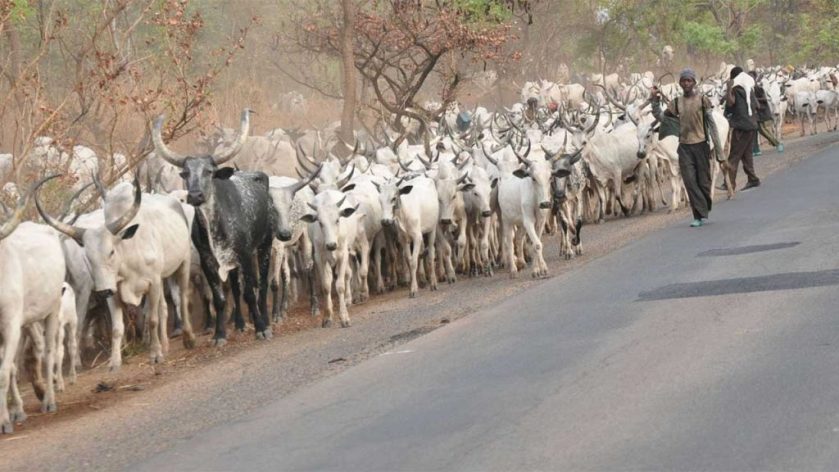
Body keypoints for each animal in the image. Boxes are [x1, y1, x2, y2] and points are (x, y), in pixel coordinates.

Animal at [152, 109, 277, 345]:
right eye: (185, 173)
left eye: (209, 171)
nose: (195, 195)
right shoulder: (208, 260)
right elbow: (219, 298)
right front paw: (219, 334)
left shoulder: (245, 254)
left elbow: (250, 292)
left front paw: (260, 328)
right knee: (236, 289)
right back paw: (239, 324)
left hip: (264, 245)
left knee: (262, 285)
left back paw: (265, 320)